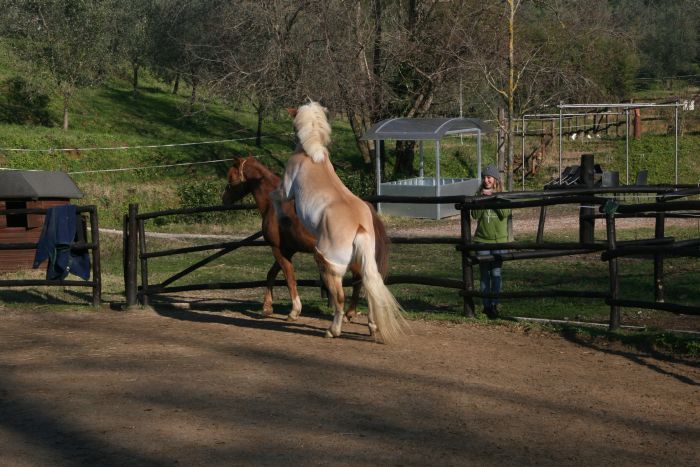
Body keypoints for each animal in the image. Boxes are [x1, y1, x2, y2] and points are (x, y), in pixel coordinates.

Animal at [221, 154, 388, 322]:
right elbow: (271, 274)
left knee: (360, 279)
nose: (224, 199)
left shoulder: (277, 249)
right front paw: (267, 308)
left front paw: (294, 311)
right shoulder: (287, 250)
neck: (274, 205)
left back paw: (351, 314)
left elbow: (289, 278)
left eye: (231, 177)